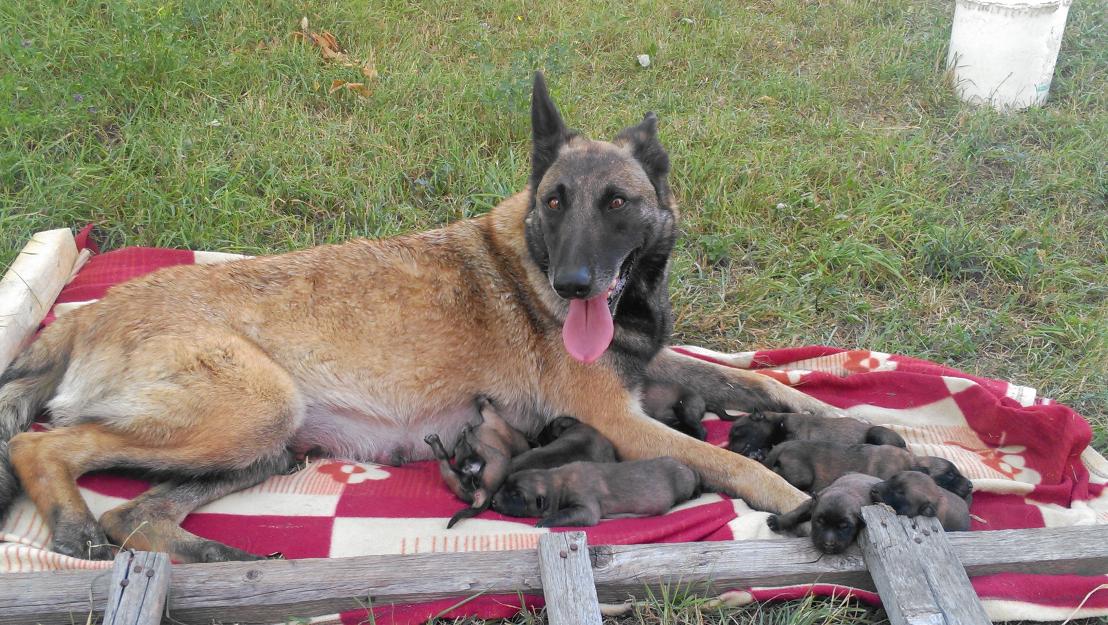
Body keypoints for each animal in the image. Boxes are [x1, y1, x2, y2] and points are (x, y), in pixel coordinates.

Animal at [421, 394, 529, 527]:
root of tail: (485, 493)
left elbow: (484, 407)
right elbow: (484, 407)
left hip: (493, 459)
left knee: (458, 454)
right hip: (459, 478)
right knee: (449, 461)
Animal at [491, 454, 695, 527]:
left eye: (516, 496)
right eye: (505, 484)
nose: (493, 501)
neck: (557, 482)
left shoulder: (585, 505)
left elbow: (570, 514)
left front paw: (545, 521)